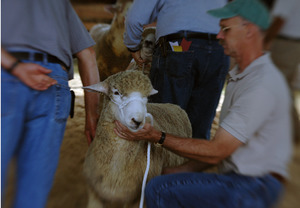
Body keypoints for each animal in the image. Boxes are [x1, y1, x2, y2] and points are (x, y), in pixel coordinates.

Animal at [82, 70, 191, 208]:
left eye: (146, 97)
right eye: (116, 92)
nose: (137, 121)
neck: (115, 170)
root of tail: (175, 105)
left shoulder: (137, 200)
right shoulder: (94, 193)